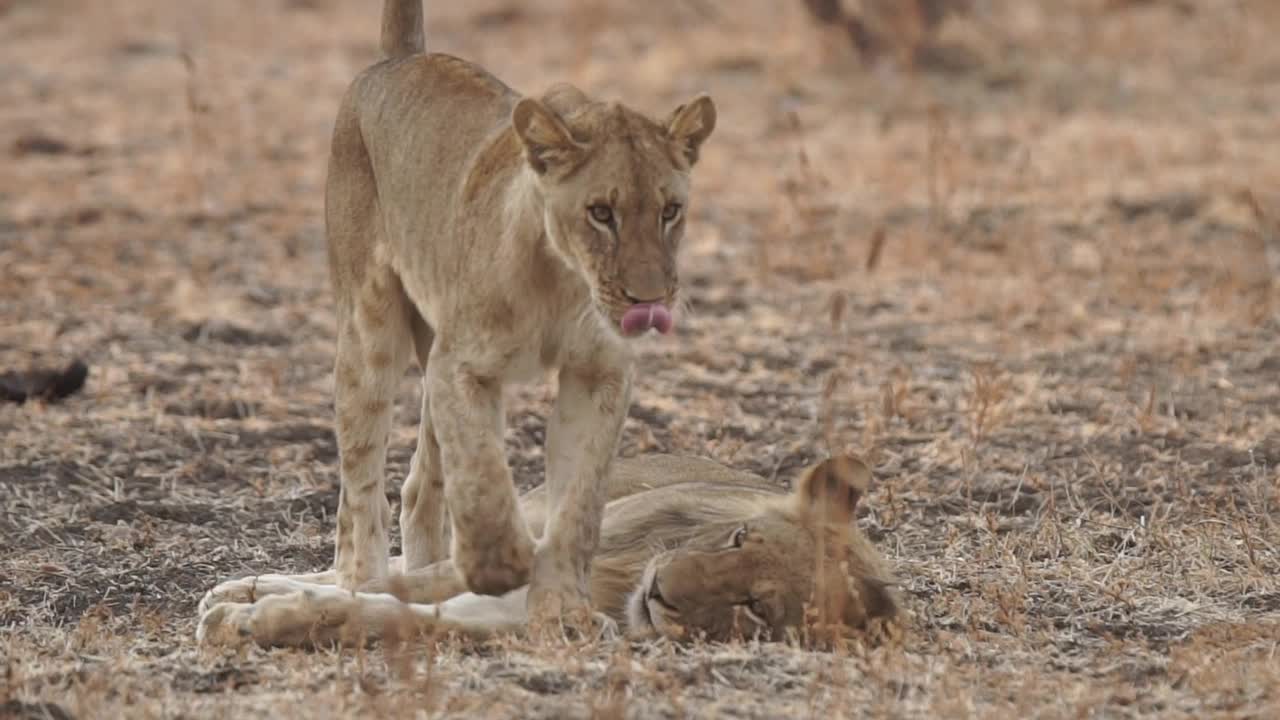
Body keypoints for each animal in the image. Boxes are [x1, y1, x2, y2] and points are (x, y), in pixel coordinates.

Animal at [197, 453, 901, 645]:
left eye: (754, 608)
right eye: (737, 537)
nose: (660, 591)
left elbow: (393, 615)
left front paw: (256, 622)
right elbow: (394, 587)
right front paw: (247, 603)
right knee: (387, 566)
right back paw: (245, 583)